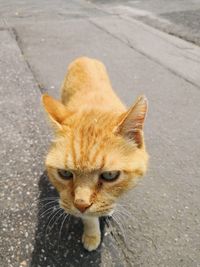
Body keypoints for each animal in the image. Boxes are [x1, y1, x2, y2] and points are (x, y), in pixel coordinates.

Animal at [41, 56, 148, 251]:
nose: (80, 205)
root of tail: (84, 57)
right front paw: (92, 235)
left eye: (110, 175)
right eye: (64, 173)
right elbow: (90, 218)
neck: (97, 110)